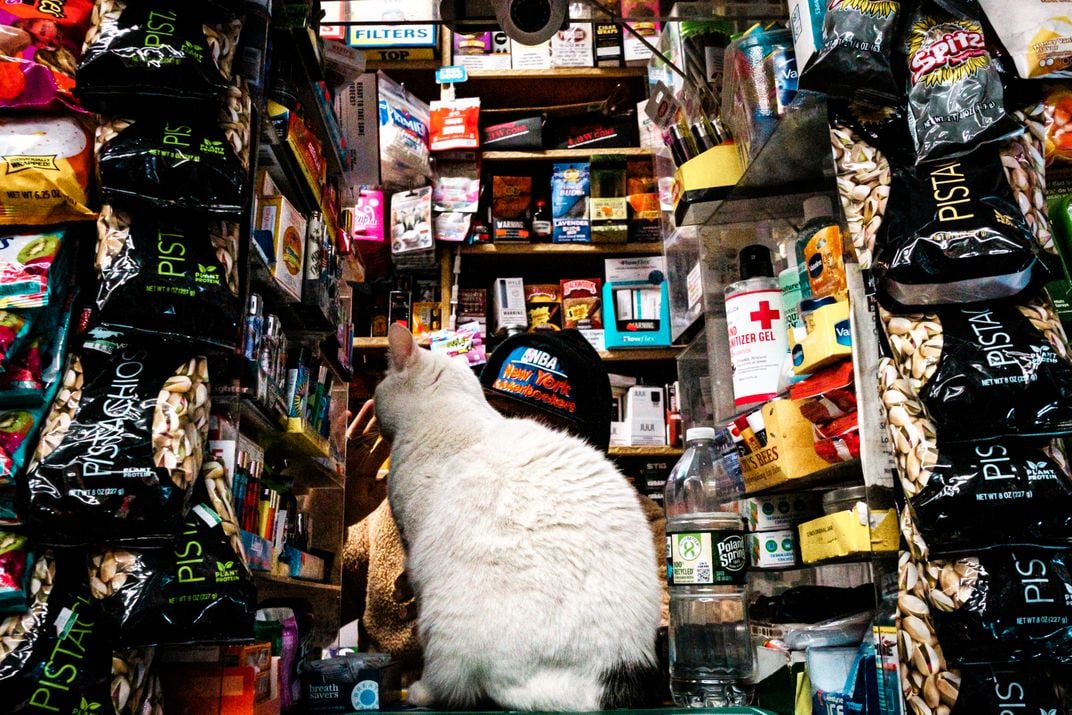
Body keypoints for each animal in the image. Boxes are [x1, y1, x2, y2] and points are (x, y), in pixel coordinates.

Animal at [377, 328, 660, 711]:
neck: (447, 409)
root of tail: (605, 677)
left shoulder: (413, 539)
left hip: (446, 621)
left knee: (455, 684)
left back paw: (422, 691)